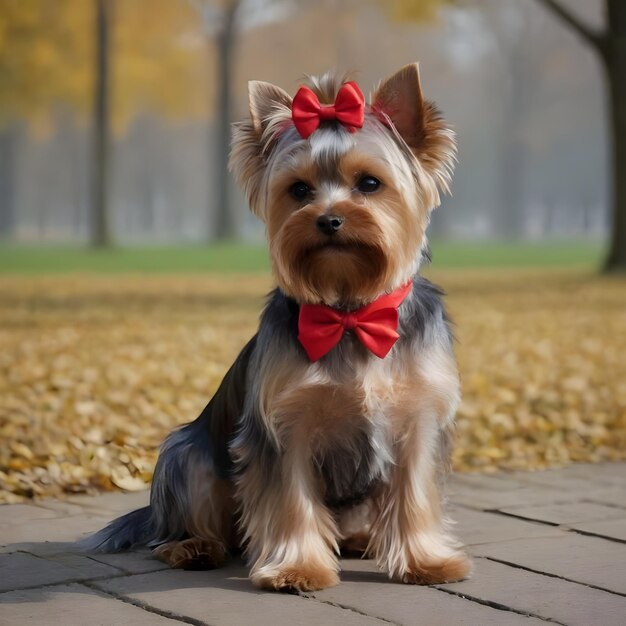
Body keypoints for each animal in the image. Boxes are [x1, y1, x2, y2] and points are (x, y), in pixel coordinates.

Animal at [85, 63, 470, 588]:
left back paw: (359, 540)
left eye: (370, 183)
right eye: (299, 190)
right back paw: (194, 547)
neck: (347, 312)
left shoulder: (417, 419)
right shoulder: (284, 425)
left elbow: (414, 493)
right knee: (183, 526)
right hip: (187, 454)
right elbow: (291, 499)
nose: (328, 219)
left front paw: (424, 561)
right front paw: (297, 567)